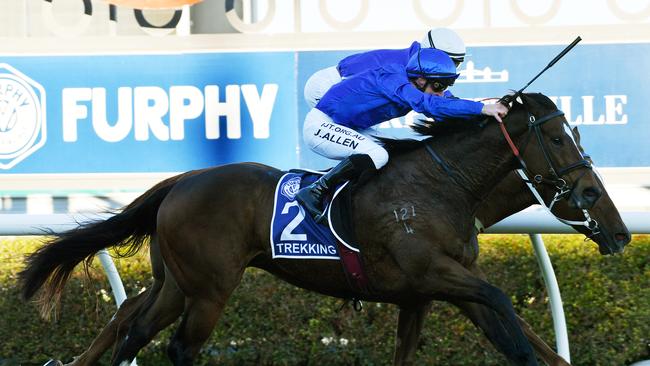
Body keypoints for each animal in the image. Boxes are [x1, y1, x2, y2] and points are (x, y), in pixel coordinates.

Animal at [19, 94, 624, 366]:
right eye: (560, 139)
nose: (618, 232)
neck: (439, 187)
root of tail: (182, 181)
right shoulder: (434, 272)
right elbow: (504, 304)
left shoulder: (433, 289)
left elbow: (513, 329)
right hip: (210, 288)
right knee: (176, 345)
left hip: (177, 282)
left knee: (132, 322)